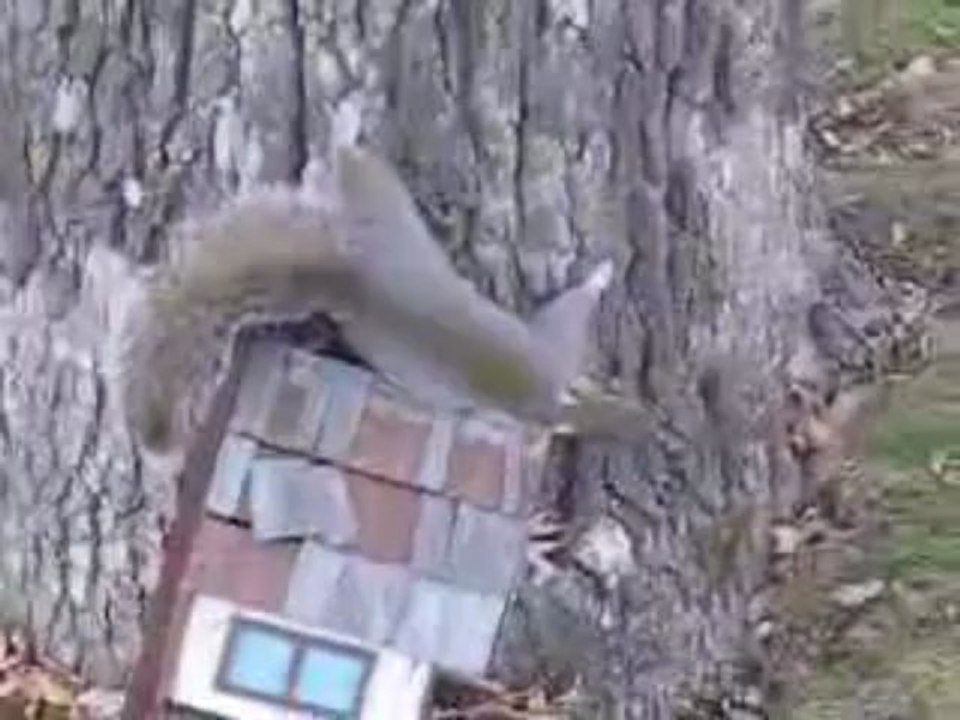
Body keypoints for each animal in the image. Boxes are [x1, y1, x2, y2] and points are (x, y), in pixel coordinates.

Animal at [114, 144, 651, 454]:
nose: (646, 420)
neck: (554, 406)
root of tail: (360, 282)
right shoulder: (551, 347)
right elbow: (570, 311)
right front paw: (601, 275)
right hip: (387, 199)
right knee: (351, 160)